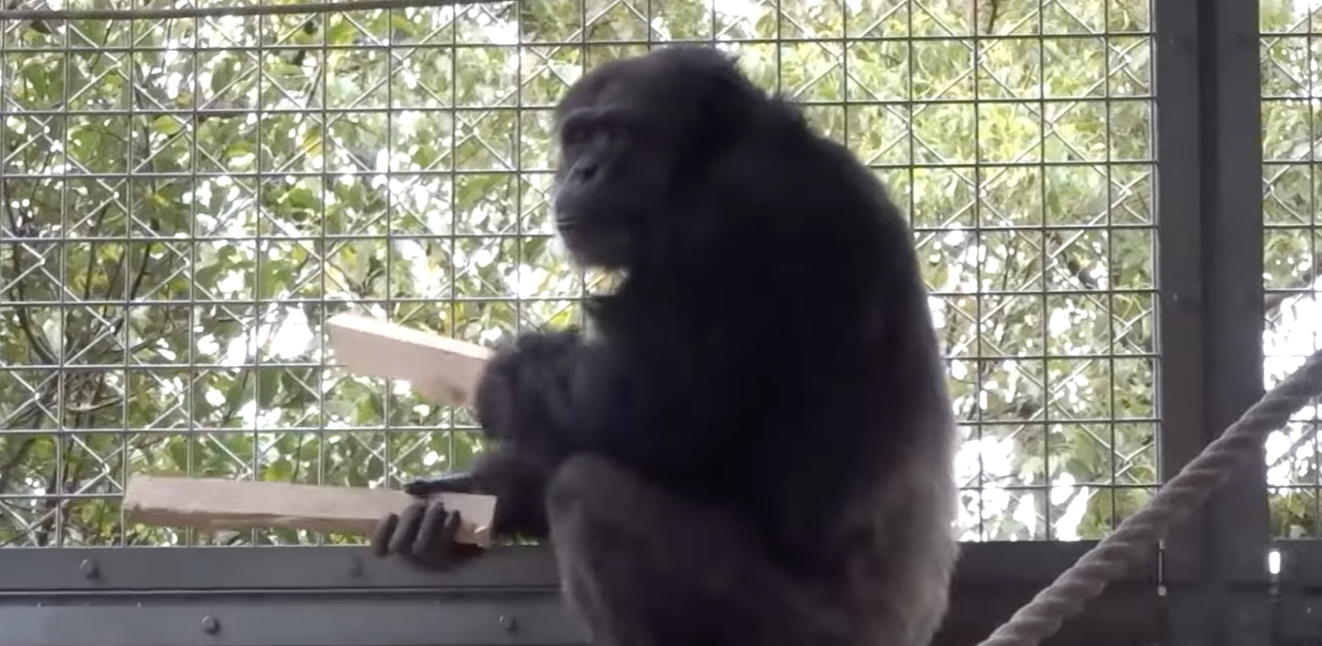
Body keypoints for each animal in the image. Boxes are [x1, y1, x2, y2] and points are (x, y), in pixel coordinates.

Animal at [371, 44, 960, 646]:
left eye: (617, 133)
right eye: (579, 137)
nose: (584, 170)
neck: (699, 166)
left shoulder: (722, 224)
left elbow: (650, 411)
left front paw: (508, 378)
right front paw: (469, 497)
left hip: (807, 629)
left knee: (588, 494)